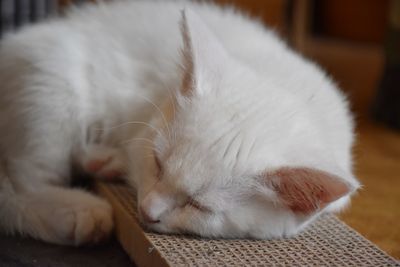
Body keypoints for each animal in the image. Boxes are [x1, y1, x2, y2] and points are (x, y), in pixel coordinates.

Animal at [0, 0, 360, 247]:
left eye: (199, 206)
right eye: (157, 164)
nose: (147, 211)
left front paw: (106, 160)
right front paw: (112, 162)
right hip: (52, 82)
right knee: (22, 185)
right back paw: (77, 211)